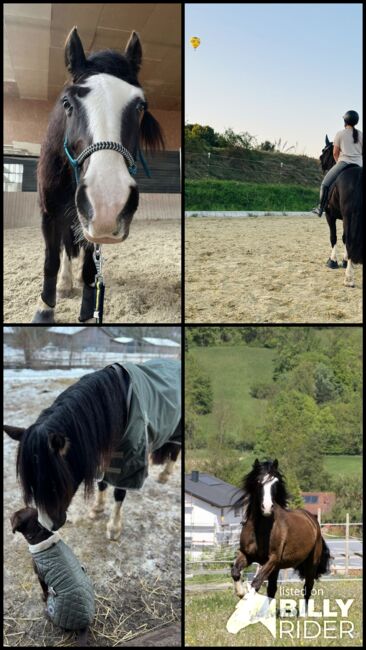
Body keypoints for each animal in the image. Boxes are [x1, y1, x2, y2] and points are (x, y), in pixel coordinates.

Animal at [2, 362, 180, 540]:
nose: (48, 526)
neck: (120, 402)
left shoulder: (128, 460)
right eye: (31, 484)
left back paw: (165, 474)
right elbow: (102, 483)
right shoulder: (104, 453)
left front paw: (114, 528)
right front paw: (97, 508)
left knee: (176, 449)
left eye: (54, 484)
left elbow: (119, 492)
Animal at [32, 27, 164, 322]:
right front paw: (45, 309)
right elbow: (51, 260)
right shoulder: (50, 213)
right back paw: (65, 284)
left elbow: (91, 270)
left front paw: (89, 313)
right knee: (65, 248)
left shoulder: (93, 227)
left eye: (140, 106)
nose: (108, 202)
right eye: (67, 103)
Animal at [230, 458, 330, 604]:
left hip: (311, 564)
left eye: (276, 482)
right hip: (277, 568)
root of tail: (313, 521)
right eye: (258, 481)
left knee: (308, 587)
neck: (261, 530)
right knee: (272, 589)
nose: (267, 508)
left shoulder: (272, 559)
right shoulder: (247, 554)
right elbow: (235, 572)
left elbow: (256, 582)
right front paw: (241, 593)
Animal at [318, 135, 362, 286]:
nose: (320, 161)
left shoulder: (330, 215)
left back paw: (349, 278)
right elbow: (342, 238)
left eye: (324, 151)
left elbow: (334, 237)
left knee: (350, 240)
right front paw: (344, 260)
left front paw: (333, 261)